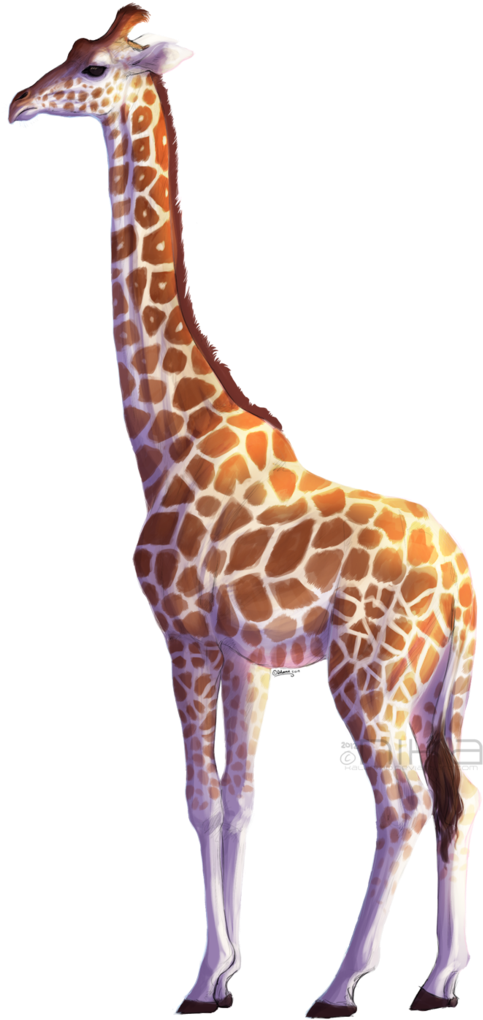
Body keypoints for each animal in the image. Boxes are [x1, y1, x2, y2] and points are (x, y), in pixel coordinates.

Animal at [8, 5, 480, 1016]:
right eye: (66, 53)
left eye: (94, 68)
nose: (20, 103)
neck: (162, 439)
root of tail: (463, 581)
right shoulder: (245, 656)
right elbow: (241, 797)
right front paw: (225, 971)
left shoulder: (182, 634)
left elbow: (197, 795)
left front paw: (200, 982)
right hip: (440, 687)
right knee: (462, 794)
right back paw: (438, 979)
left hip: (367, 675)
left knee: (404, 803)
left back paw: (340, 986)